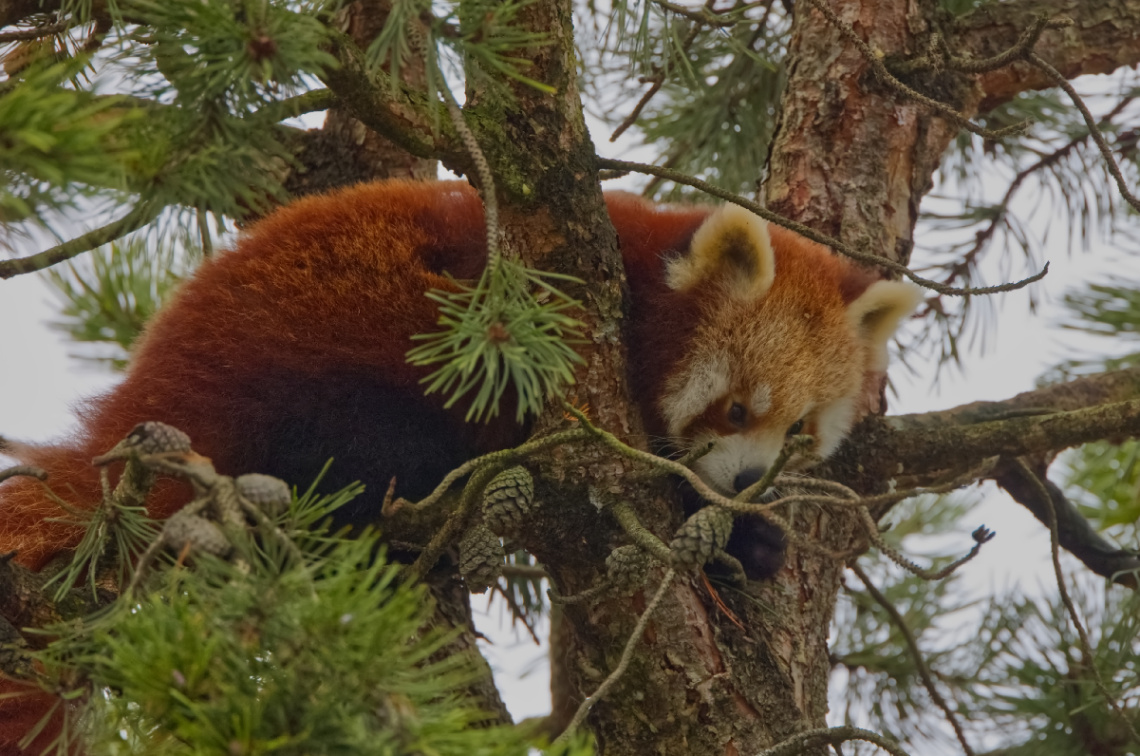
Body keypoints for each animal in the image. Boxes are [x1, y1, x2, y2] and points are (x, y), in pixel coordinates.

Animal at [0, 183, 921, 756]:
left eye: (798, 431)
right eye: (735, 409)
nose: (741, 483)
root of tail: (161, 377)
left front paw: (748, 542)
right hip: (337, 365)